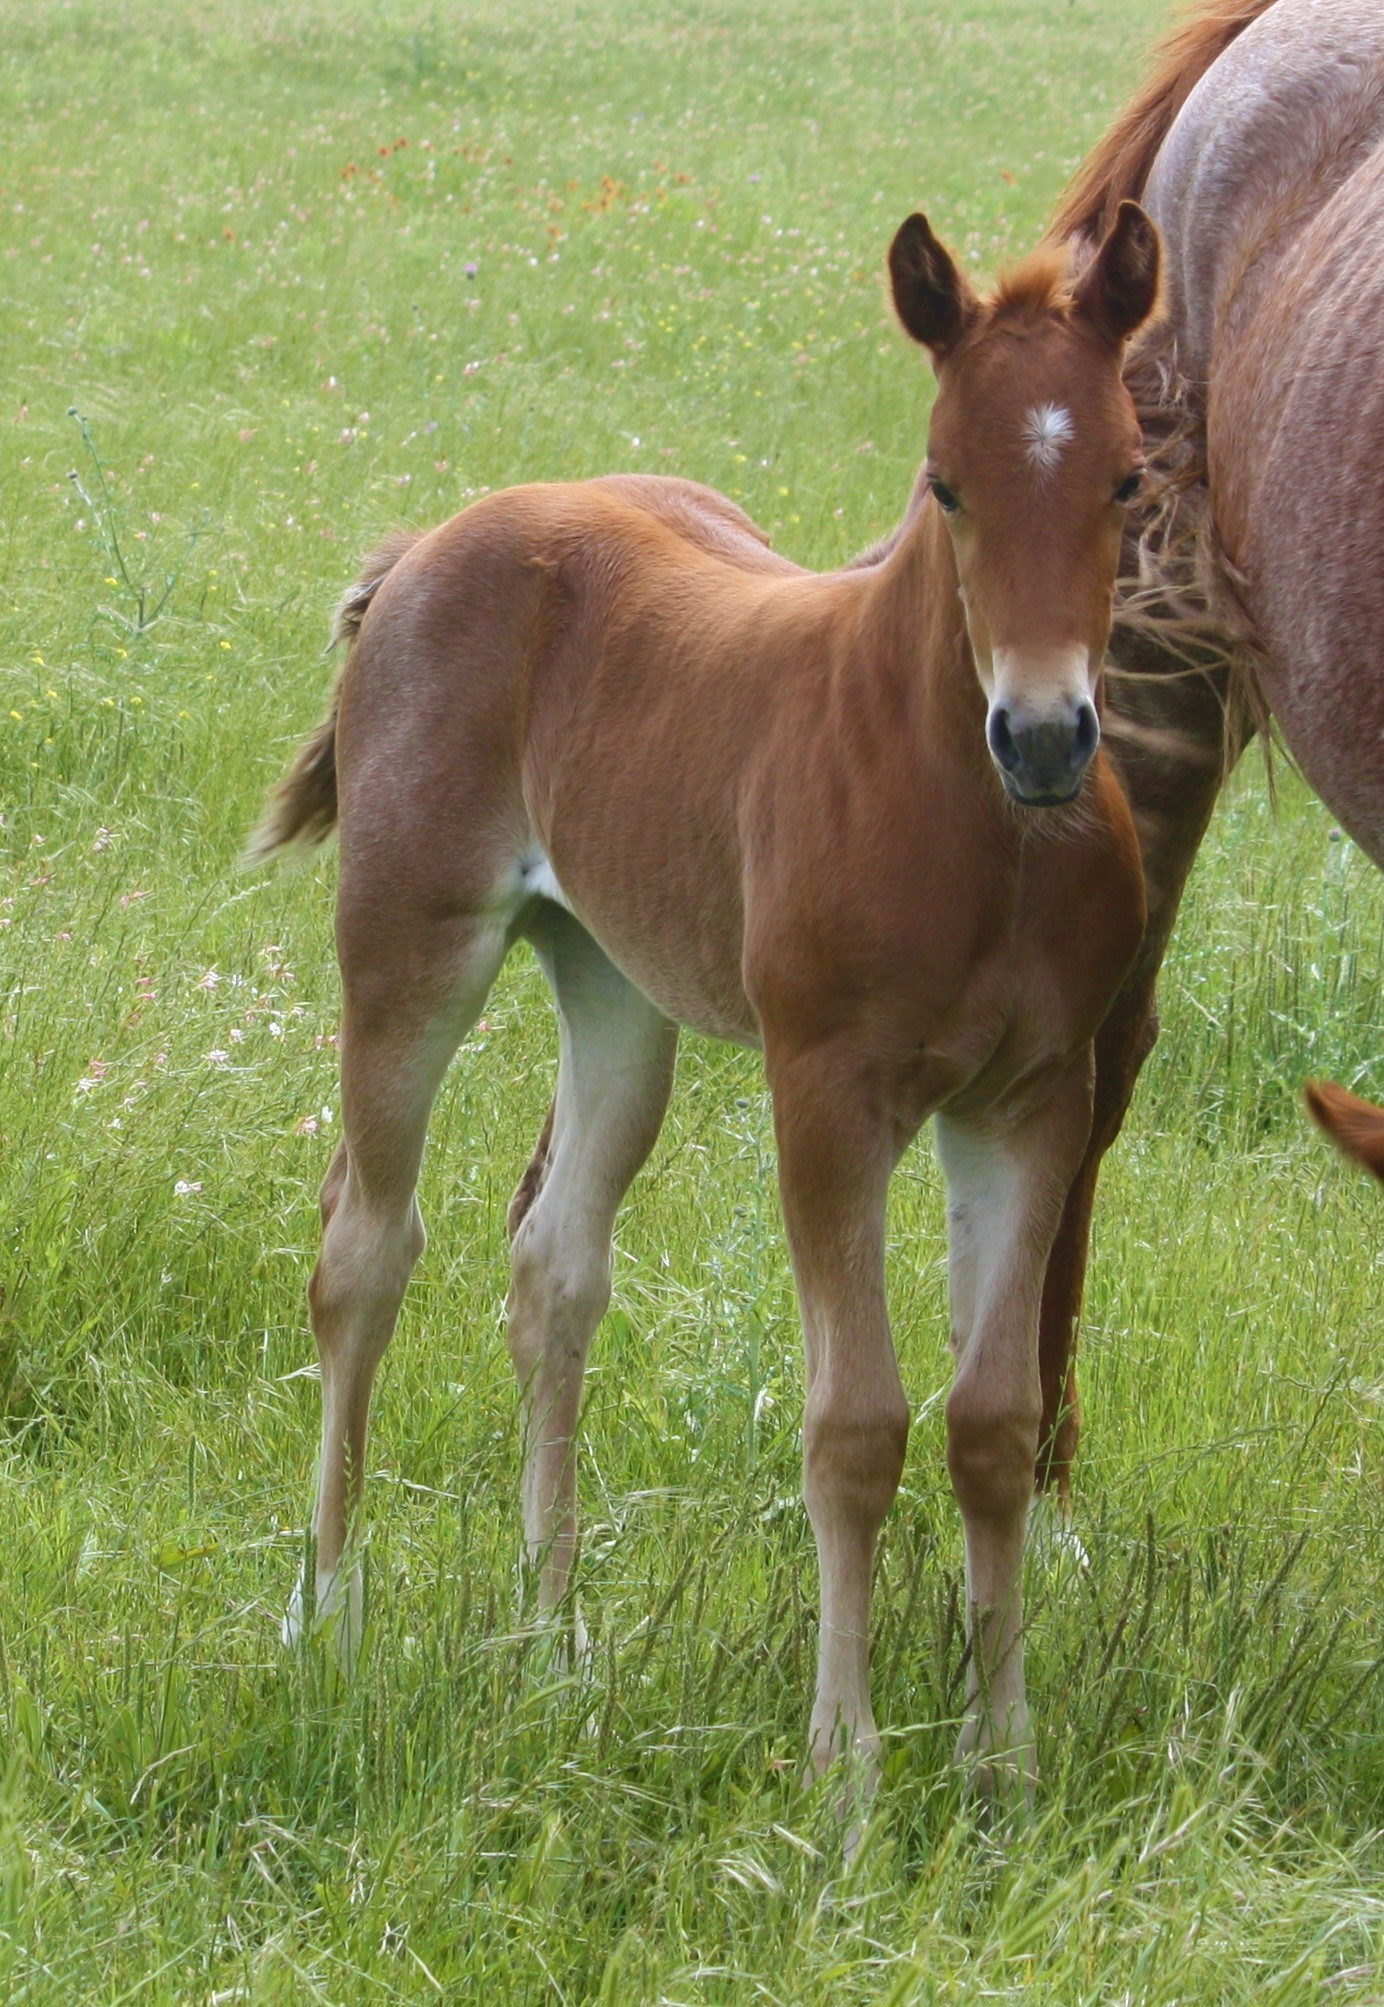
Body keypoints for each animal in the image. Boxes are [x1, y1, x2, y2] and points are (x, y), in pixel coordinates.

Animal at [253, 202, 1159, 1804]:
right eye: (945, 481)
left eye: (1124, 475)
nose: (1047, 735)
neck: (972, 820)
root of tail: (433, 540)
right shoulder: (829, 1091)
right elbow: (855, 1428)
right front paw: (845, 1772)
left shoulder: (1030, 1100)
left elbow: (991, 1422)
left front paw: (1002, 1767)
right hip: (408, 944)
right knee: (362, 1249)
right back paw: (328, 1613)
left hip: (615, 982)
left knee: (553, 1264)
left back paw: (553, 1644)